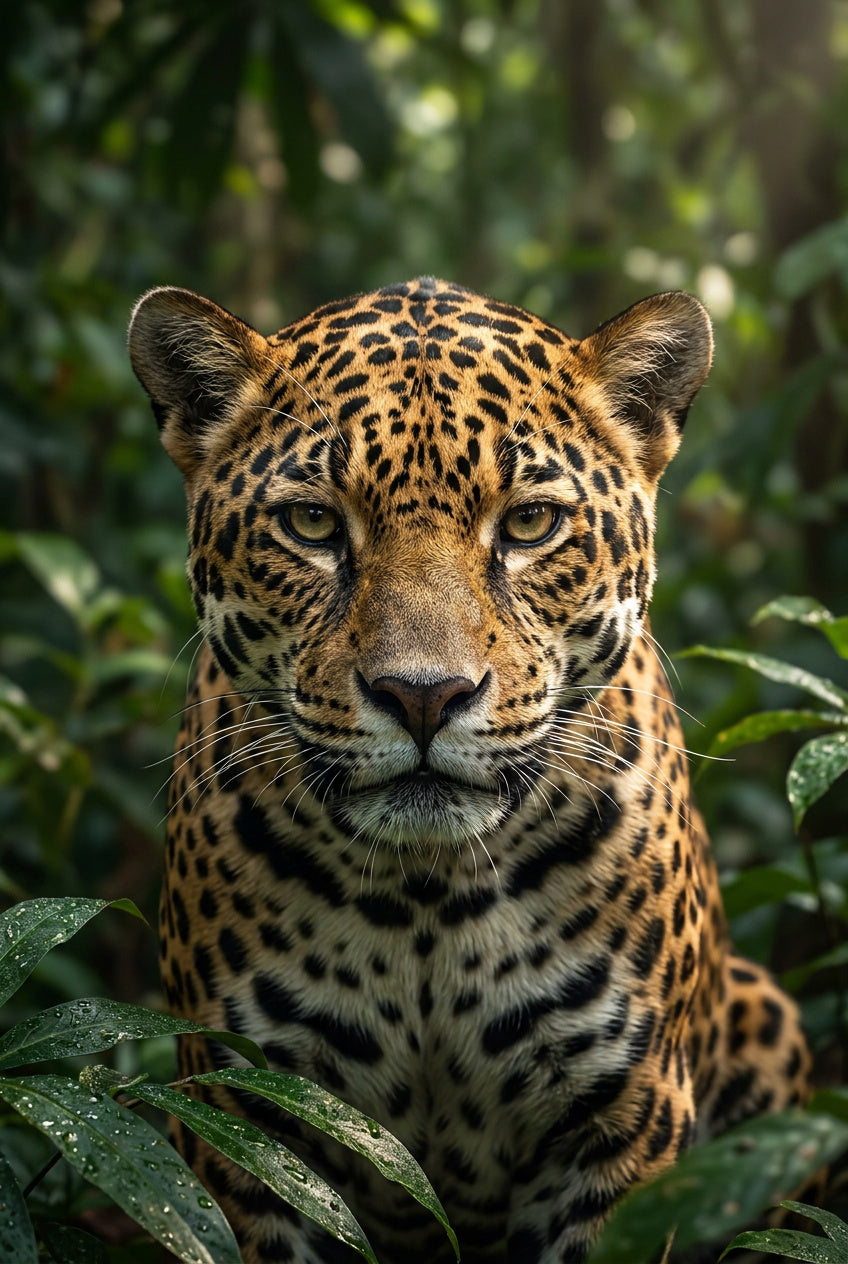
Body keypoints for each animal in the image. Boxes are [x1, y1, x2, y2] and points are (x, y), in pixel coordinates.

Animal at [128, 277, 811, 1264]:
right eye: (312, 522)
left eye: (529, 523)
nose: (423, 695)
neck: (427, 901)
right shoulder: (250, 1115)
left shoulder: (624, 1117)